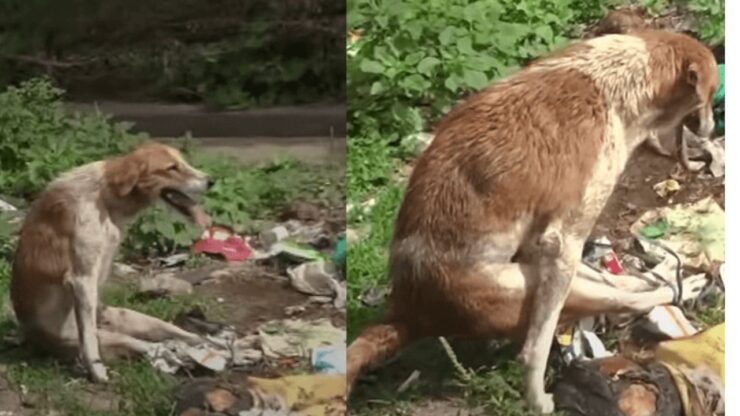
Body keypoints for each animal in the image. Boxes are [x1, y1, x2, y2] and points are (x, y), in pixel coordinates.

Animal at [11, 141, 214, 382]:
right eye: (172, 168)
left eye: (183, 162)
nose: (211, 181)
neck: (106, 197)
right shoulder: (82, 279)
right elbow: (89, 337)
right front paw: (96, 370)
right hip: (111, 336)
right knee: (148, 346)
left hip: (138, 320)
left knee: (174, 335)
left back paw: (206, 343)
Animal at [350, 30, 720, 414]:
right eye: (711, 93)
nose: (711, 130)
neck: (616, 80)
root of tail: (407, 309)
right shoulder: (562, 239)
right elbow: (535, 351)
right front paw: (538, 398)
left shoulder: (550, 243)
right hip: (536, 285)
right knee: (623, 299)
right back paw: (683, 287)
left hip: (546, 271)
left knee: (618, 285)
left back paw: (668, 277)